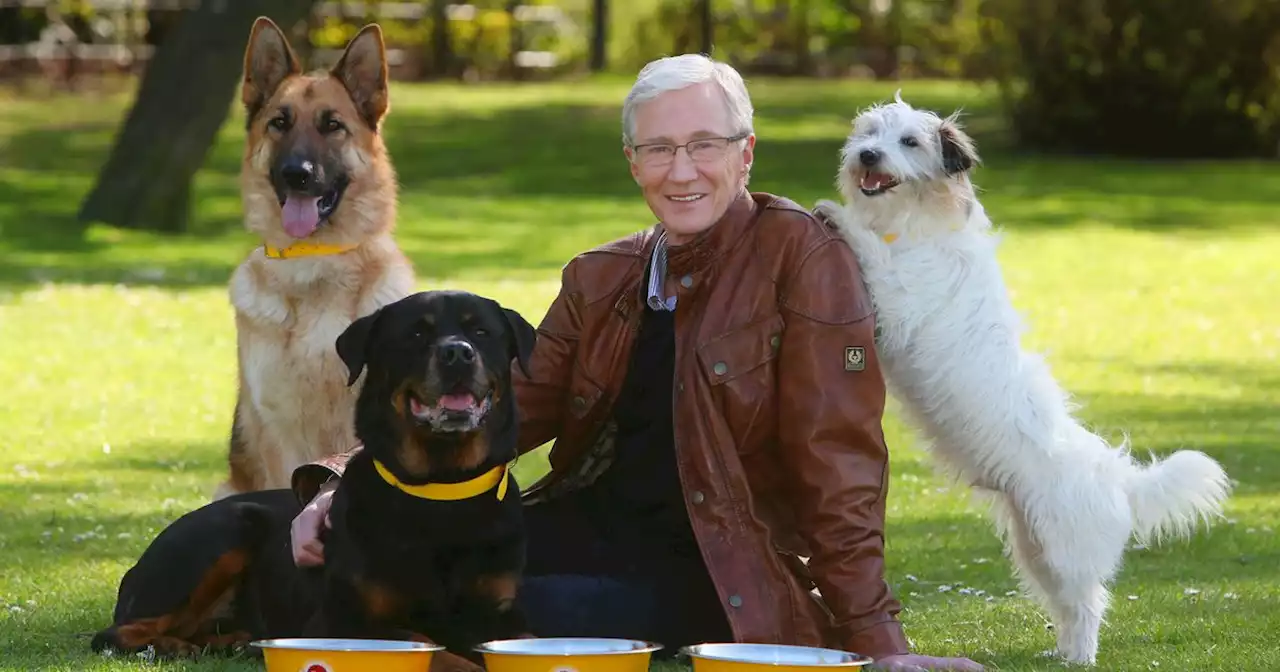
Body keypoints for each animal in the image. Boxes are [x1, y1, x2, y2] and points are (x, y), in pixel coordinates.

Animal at [92, 291, 537, 670]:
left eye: (481, 332)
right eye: (415, 333)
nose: (457, 353)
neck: (442, 490)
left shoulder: (500, 616)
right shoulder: (341, 623)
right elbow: (434, 650)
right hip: (223, 532)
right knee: (114, 634)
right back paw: (171, 646)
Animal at [814, 95, 1233, 665]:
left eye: (910, 142)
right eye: (870, 133)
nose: (868, 156)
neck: (914, 222)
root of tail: (1118, 476)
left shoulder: (897, 303)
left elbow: (870, 251)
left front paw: (835, 215)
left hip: (1064, 552)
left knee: (1089, 604)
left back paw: (1080, 658)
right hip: (1034, 548)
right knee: (1065, 605)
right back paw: (1060, 653)